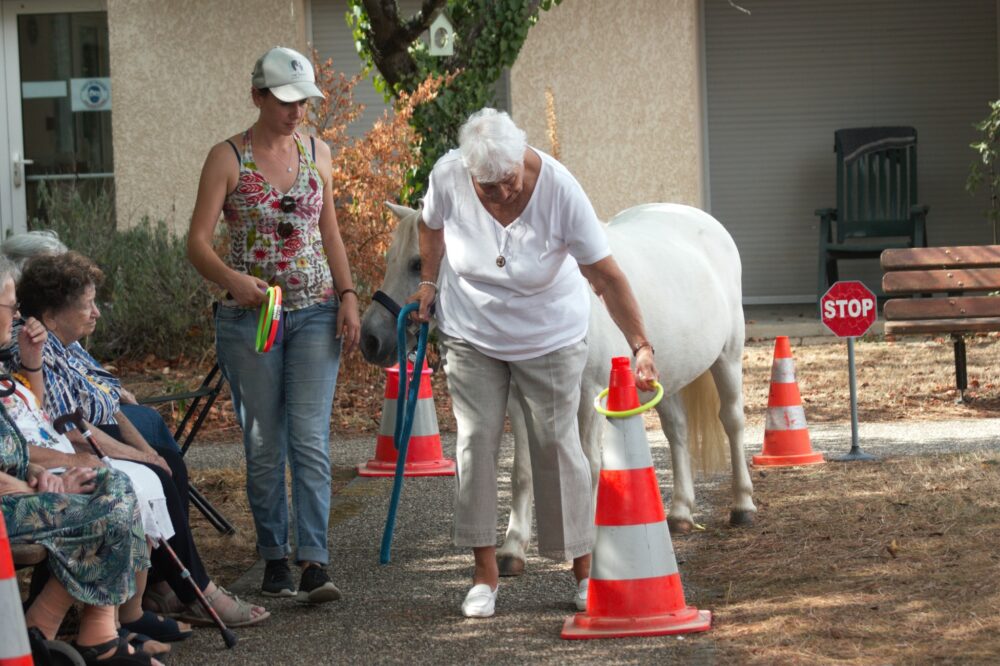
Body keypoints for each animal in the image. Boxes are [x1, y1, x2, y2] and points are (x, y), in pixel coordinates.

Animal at [362, 200, 756, 572]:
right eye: (388, 259)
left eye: (417, 263)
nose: (370, 340)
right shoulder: (518, 403)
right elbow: (522, 473)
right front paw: (512, 549)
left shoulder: (590, 397)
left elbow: (589, 464)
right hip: (665, 375)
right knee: (677, 430)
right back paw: (680, 513)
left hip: (728, 356)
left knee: (732, 422)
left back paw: (743, 505)